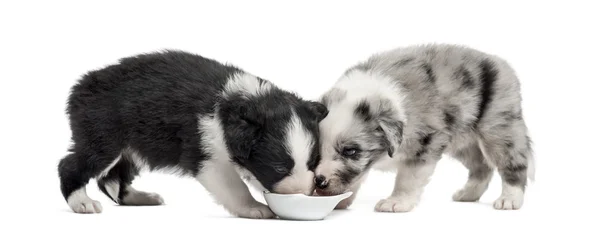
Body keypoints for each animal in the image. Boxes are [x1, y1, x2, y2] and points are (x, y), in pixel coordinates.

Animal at [57, 50, 328, 219]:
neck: (235, 104)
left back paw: (139, 197)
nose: (306, 193)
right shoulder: (206, 155)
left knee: (112, 177)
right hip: (104, 136)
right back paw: (81, 202)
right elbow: (235, 186)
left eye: (313, 162)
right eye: (280, 167)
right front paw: (254, 208)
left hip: (132, 148)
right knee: (71, 165)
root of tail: (80, 86)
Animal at [314, 43, 536, 211]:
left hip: (498, 128)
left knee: (513, 163)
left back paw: (510, 199)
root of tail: (502, 64)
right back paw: (468, 194)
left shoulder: (426, 142)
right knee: (482, 167)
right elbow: (357, 177)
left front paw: (397, 202)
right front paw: (340, 200)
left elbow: (407, 177)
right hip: (463, 142)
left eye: (350, 151)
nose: (319, 181)